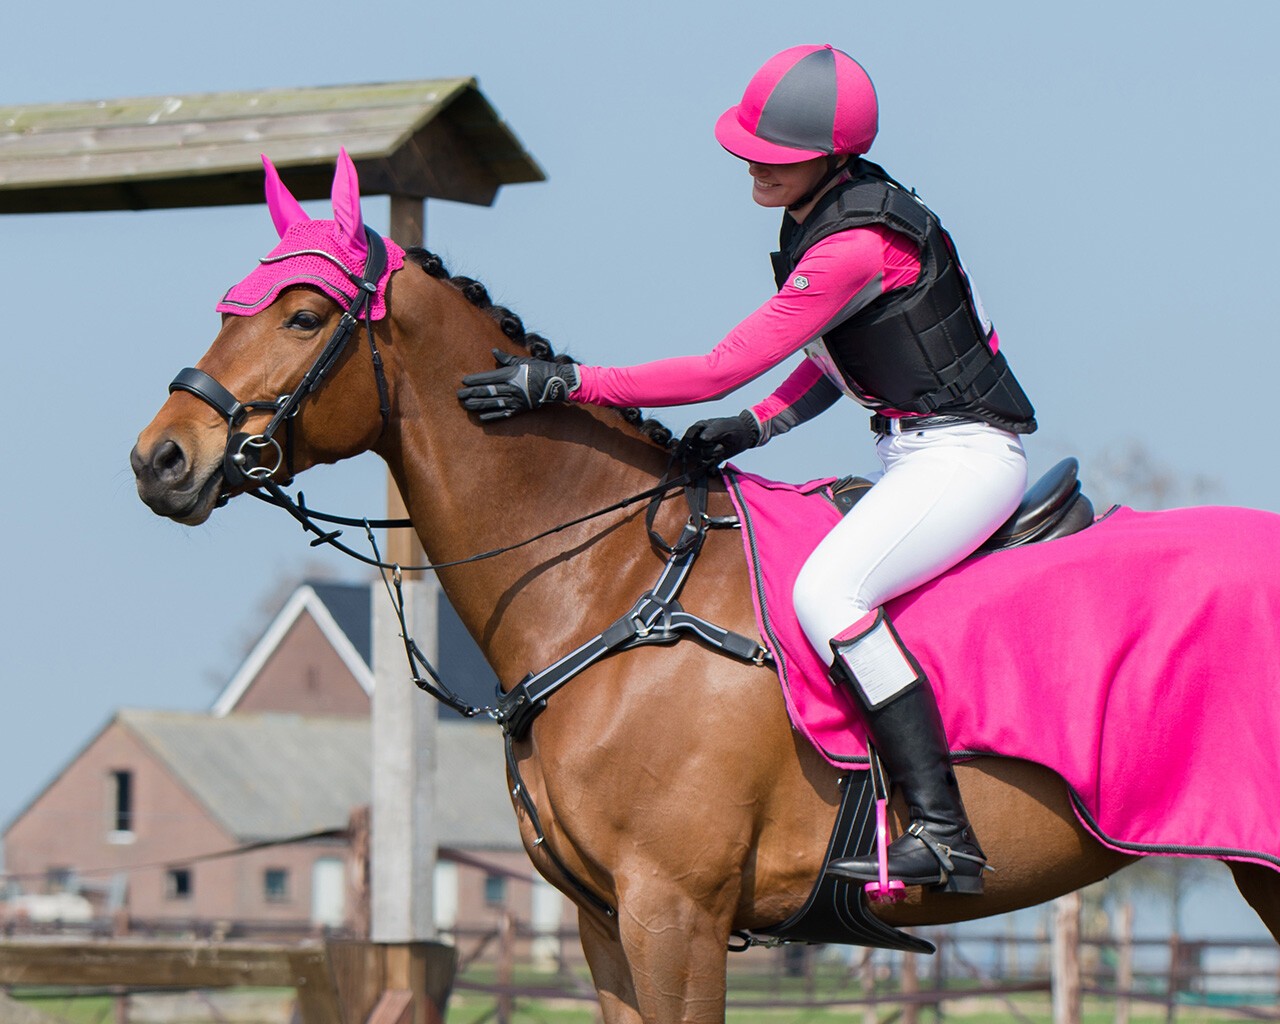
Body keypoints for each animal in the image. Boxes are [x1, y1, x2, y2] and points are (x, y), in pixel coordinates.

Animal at [132, 154, 1280, 1024]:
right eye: (227, 308)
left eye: (300, 315)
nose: (161, 459)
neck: (616, 586)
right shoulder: (605, 922)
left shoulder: (673, 910)